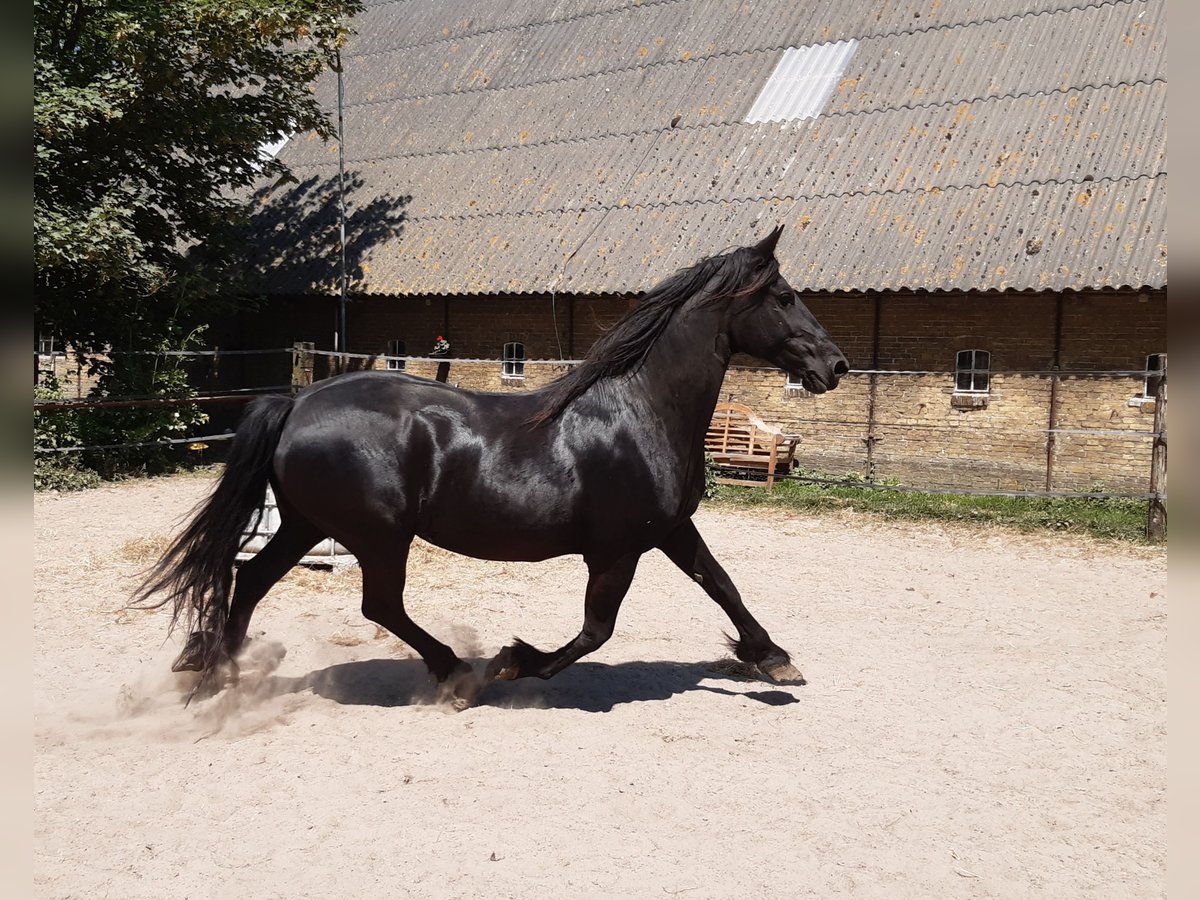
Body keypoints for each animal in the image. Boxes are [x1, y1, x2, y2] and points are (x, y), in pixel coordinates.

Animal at [140, 225, 849, 705]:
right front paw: (513, 661)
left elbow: (722, 585)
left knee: (252, 579)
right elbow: (595, 632)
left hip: (306, 525)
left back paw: (218, 670)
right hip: (377, 536)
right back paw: (456, 672)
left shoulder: (671, 530)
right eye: (784, 296)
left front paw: (774, 659)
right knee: (379, 605)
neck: (642, 410)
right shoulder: (618, 550)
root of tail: (297, 403)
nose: (835, 365)